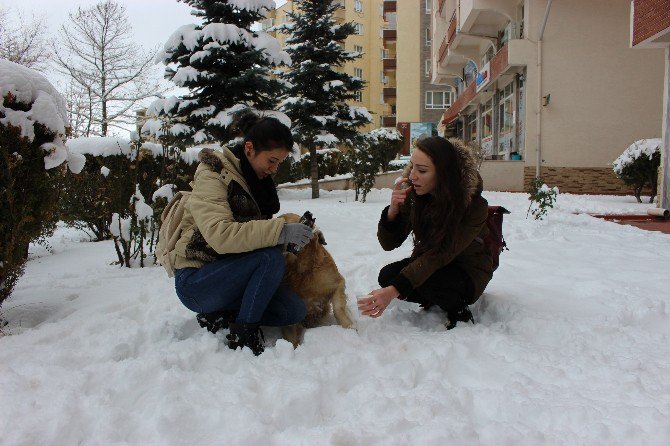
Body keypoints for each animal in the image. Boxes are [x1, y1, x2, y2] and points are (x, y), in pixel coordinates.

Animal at [280, 211, 354, 346]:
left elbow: (338, 308)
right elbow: (292, 335)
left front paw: (350, 327)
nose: (308, 213)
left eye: (299, 216)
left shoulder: (337, 282)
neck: (302, 268)